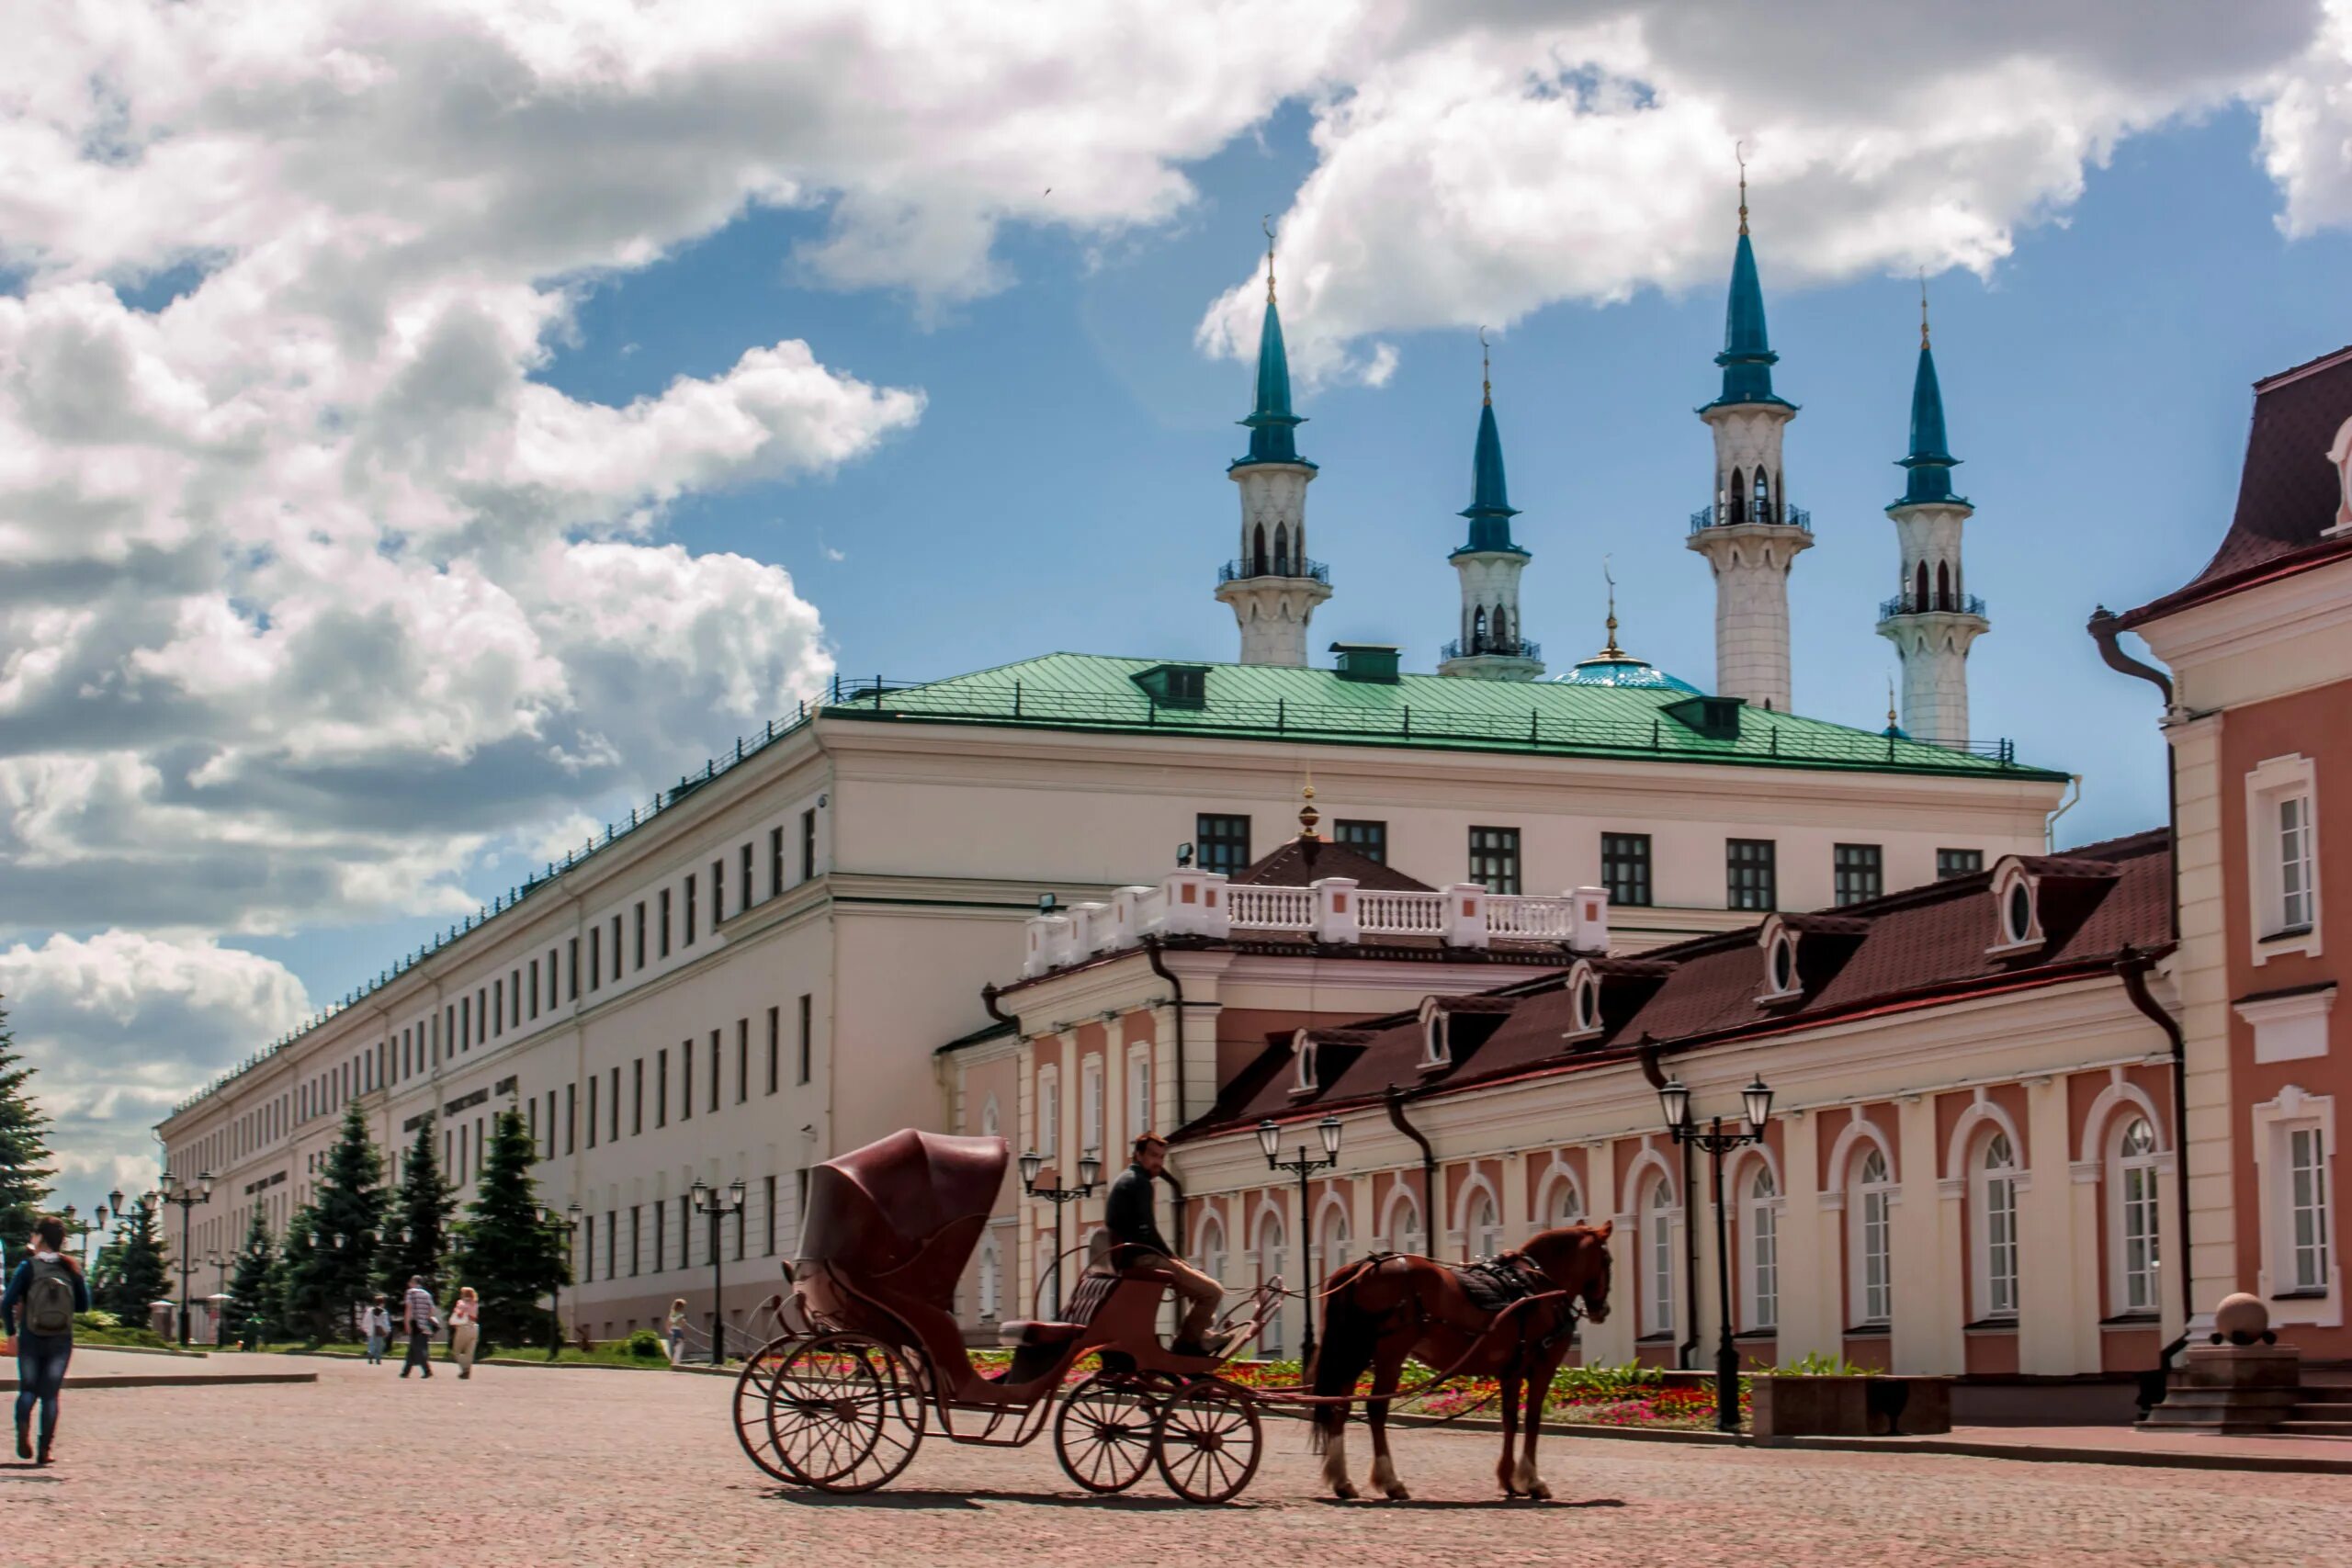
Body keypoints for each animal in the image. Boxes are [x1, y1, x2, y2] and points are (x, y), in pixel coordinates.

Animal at [1307, 1222, 1618, 1504]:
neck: (1538, 1287)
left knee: (1340, 1406)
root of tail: (1364, 1267)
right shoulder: (1542, 1368)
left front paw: (1508, 1479)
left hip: (1354, 1356)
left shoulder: (1512, 1371)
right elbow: (1532, 1420)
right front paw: (1532, 1481)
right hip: (1388, 1357)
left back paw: (1342, 1481)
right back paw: (1390, 1481)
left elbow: (1510, 1420)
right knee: (1376, 1410)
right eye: (1608, 1260)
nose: (1603, 1309)